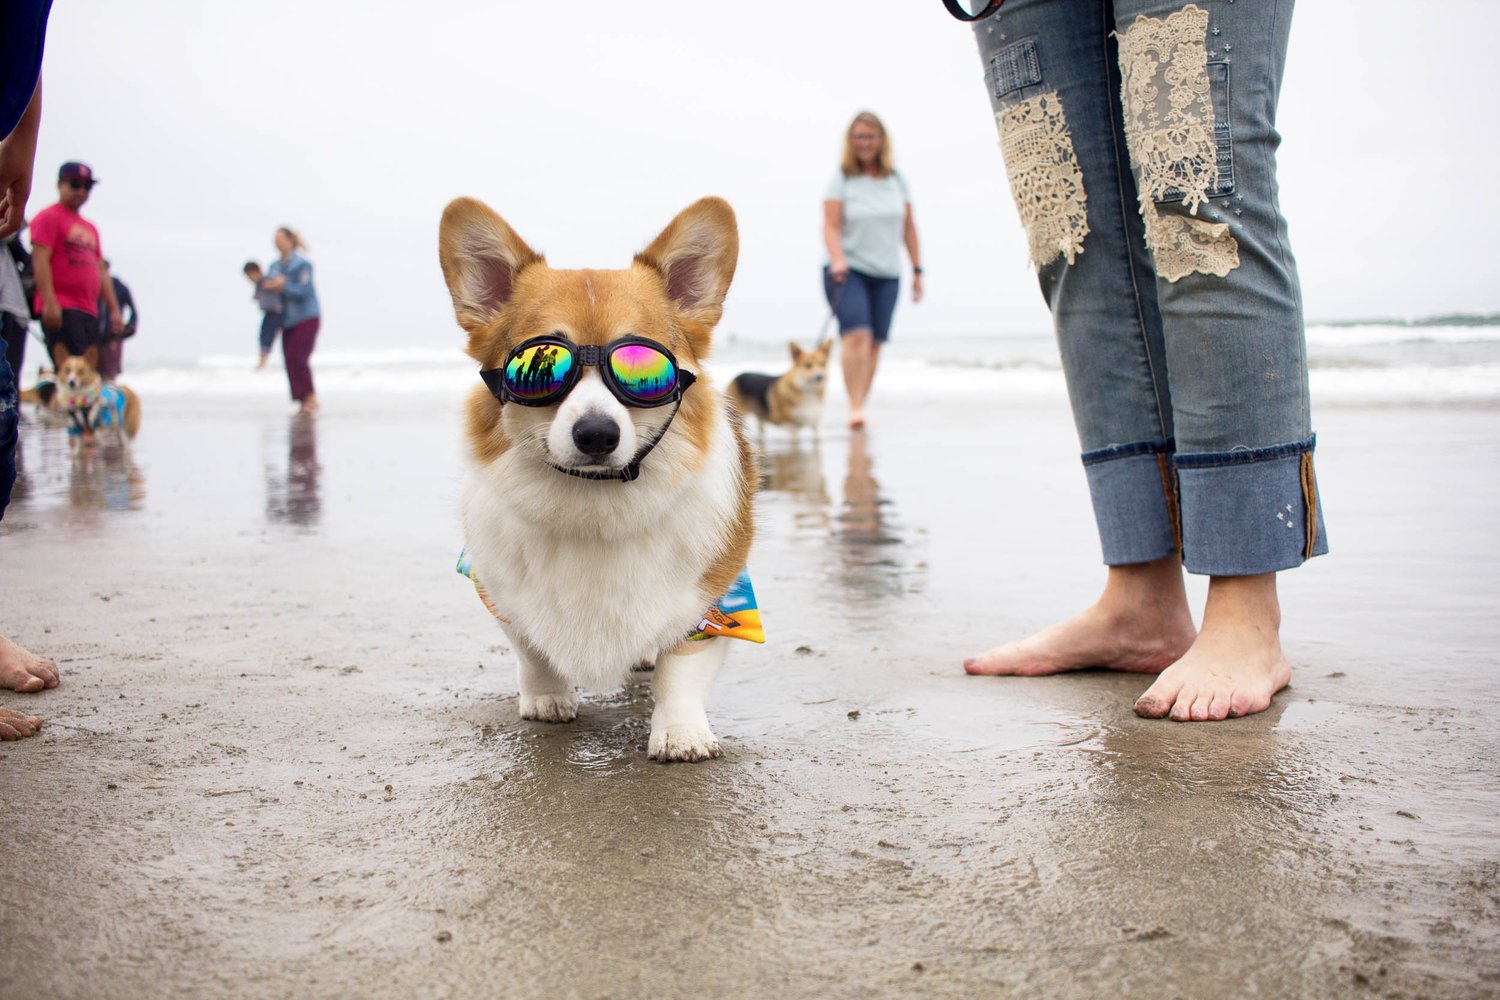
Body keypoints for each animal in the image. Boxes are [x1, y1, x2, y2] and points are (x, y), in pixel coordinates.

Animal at [438, 194, 762, 761]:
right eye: (539, 365)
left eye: (643, 369)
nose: (595, 434)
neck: (593, 502)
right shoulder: (498, 590)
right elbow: (532, 650)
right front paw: (546, 698)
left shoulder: (715, 601)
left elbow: (680, 672)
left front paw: (680, 733)